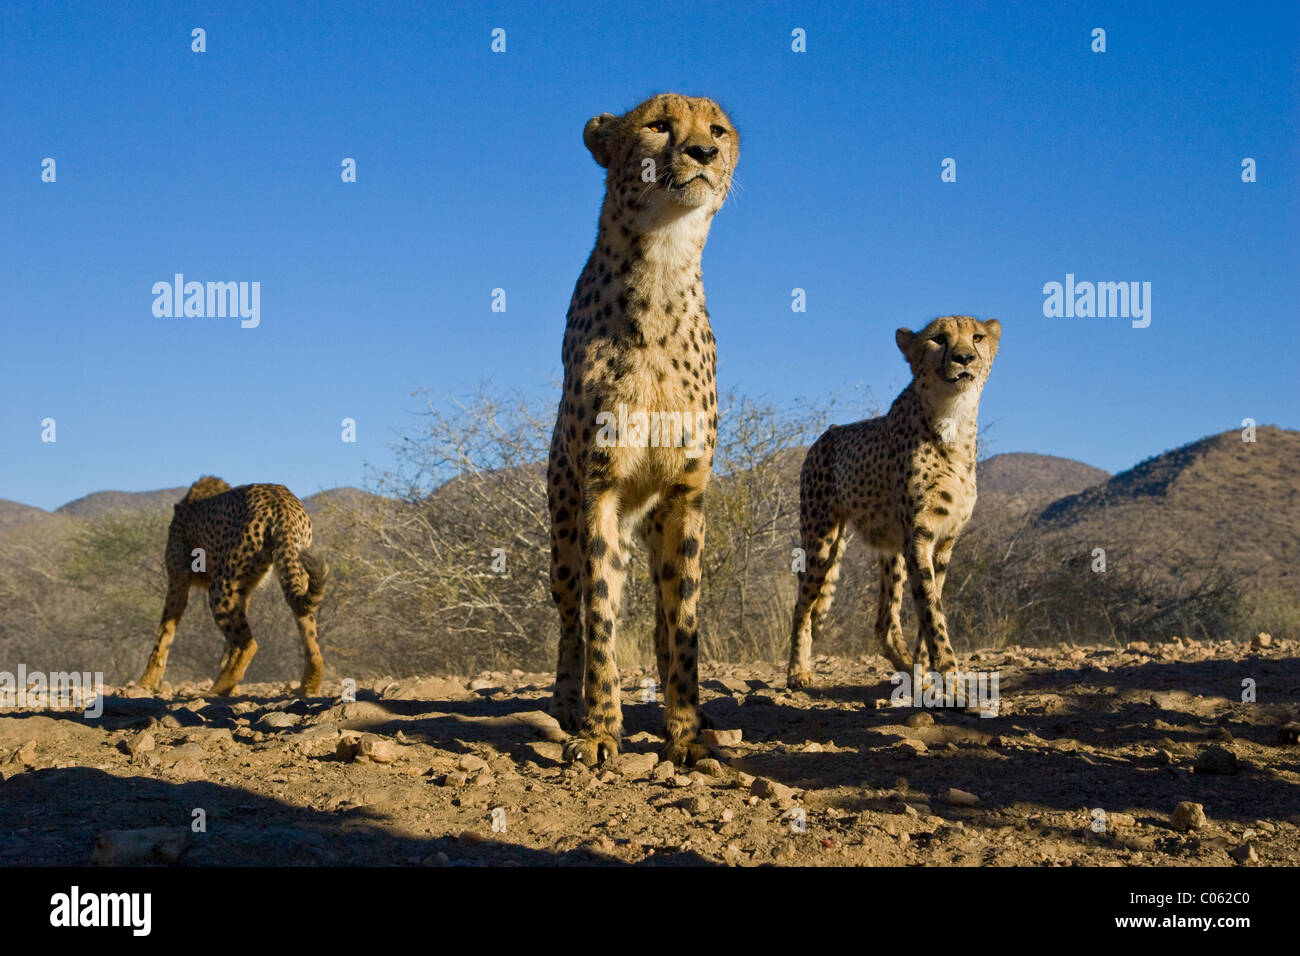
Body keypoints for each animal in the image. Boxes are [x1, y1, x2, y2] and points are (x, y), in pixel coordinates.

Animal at [136, 476, 327, 697]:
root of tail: (280, 501)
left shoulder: (178, 581)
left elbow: (164, 633)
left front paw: (145, 682)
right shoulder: (244, 592)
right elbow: (228, 646)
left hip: (221, 587)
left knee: (248, 644)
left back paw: (215, 690)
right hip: (296, 570)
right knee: (310, 638)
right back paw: (308, 686)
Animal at [543, 95, 738, 770]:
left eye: (718, 130)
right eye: (657, 125)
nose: (702, 153)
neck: (661, 265)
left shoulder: (686, 495)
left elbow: (683, 626)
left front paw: (685, 732)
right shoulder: (599, 489)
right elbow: (600, 618)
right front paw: (602, 729)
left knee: (661, 612)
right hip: (563, 529)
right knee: (570, 617)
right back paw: (566, 706)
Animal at [780, 316, 1003, 686]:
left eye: (977, 337)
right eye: (938, 339)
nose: (964, 358)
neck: (952, 417)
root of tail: (829, 431)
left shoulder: (943, 542)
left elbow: (931, 604)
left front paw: (929, 666)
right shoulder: (919, 536)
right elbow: (931, 609)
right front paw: (950, 672)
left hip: (890, 550)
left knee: (884, 624)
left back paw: (911, 671)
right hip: (821, 540)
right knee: (803, 607)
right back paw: (798, 671)